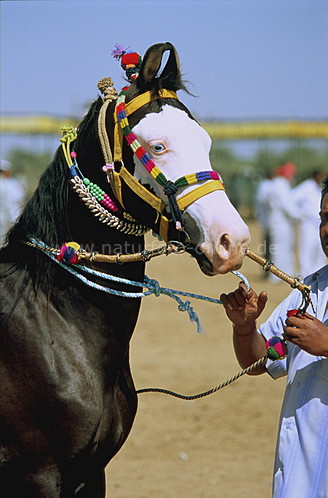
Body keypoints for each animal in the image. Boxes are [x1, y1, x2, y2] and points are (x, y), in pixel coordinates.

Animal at [0, 43, 250, 498]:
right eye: (158, 146)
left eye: (205, 140)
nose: (233, 240)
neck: (51, 322)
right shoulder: (38, 475)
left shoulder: (91, 474)